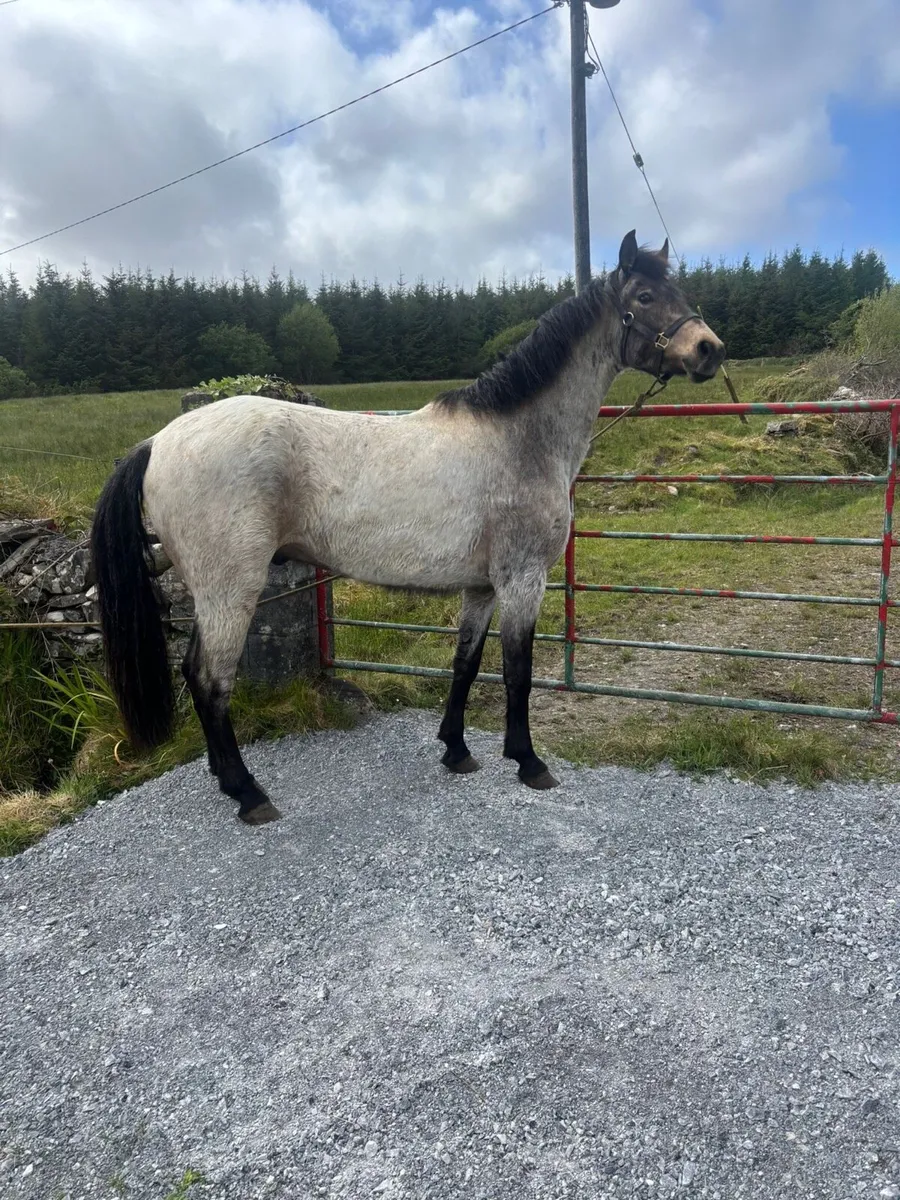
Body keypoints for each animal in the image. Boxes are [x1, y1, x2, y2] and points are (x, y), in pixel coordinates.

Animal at [91, 231, 725, 825]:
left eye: (679, 290)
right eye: (645, 296)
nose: (709, 349)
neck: (517, 439)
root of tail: (158, 441)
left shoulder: (482, 587)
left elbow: (467, 663)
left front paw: (457, 751)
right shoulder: (523, 579)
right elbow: (517, 671)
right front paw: (528, 762)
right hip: (230, 591)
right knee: (209, 681)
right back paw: (248, 794)